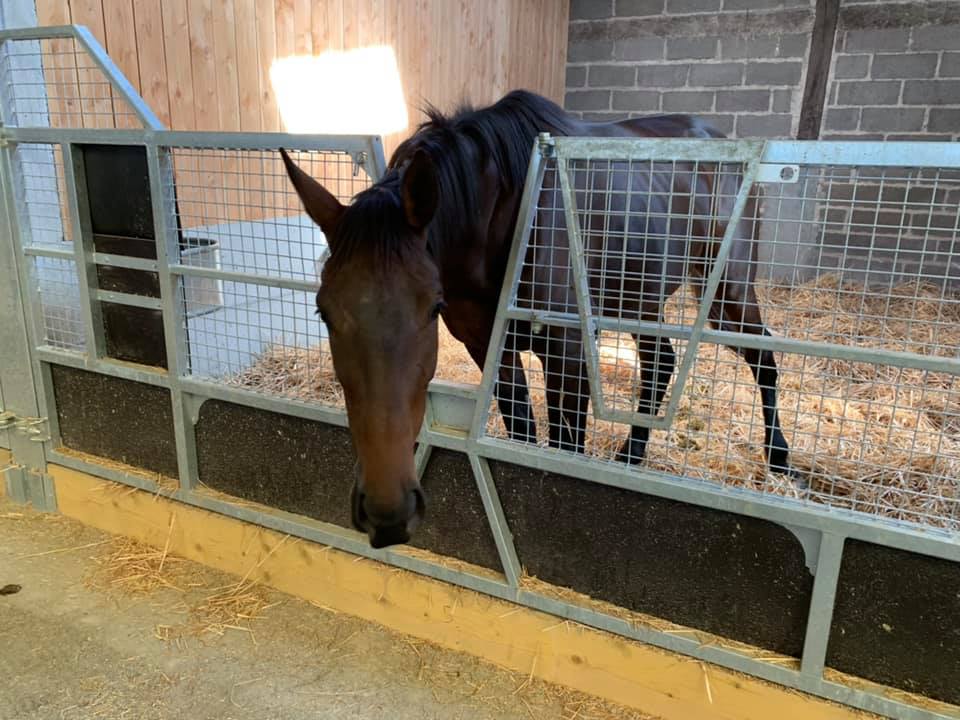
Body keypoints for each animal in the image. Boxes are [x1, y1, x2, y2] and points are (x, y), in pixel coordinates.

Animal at [281, 90, 795, 549]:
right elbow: (522, 437)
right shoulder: (490, 350)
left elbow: (564, 450)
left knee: (763, 360)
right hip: (642, 299)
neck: (504, 216)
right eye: (323, 311)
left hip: (727, 290)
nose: (387, 513)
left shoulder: (567, 354)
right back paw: (631, 457)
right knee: (660, 364)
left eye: (432, 307)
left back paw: (782, 463)